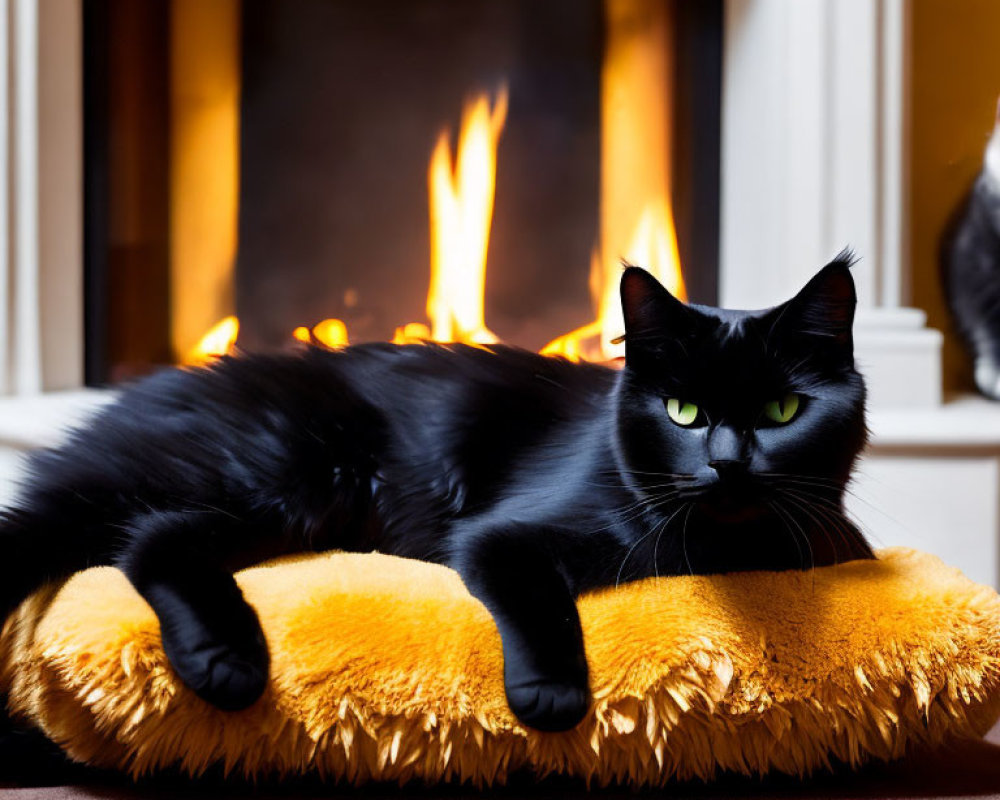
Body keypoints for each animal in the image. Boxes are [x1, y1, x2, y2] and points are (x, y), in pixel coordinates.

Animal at [0, 260, 872, 732]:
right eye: (683, 412)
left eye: (782, 412)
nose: (727, 465)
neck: (729, 550)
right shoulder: (500, 537)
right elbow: (541, 599)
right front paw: (551, 694)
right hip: (285, 472)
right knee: (150, 539)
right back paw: (228, 662)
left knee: (149, 539)